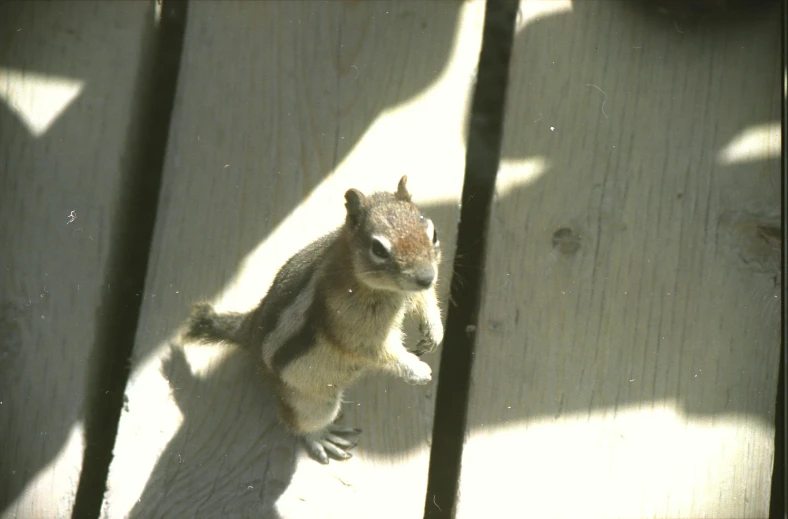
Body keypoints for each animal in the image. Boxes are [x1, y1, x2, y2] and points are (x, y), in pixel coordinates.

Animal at [181, 177, 446, 466]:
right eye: (378, 249)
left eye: (432, 233)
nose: (426, 277)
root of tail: (251, 332)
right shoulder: (349, 324)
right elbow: (374, 350)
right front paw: (416, 370)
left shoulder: (412, 292)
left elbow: (424, 301)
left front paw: (434, 332)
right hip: (309, 400)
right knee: (296, 421)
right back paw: (321, 437)